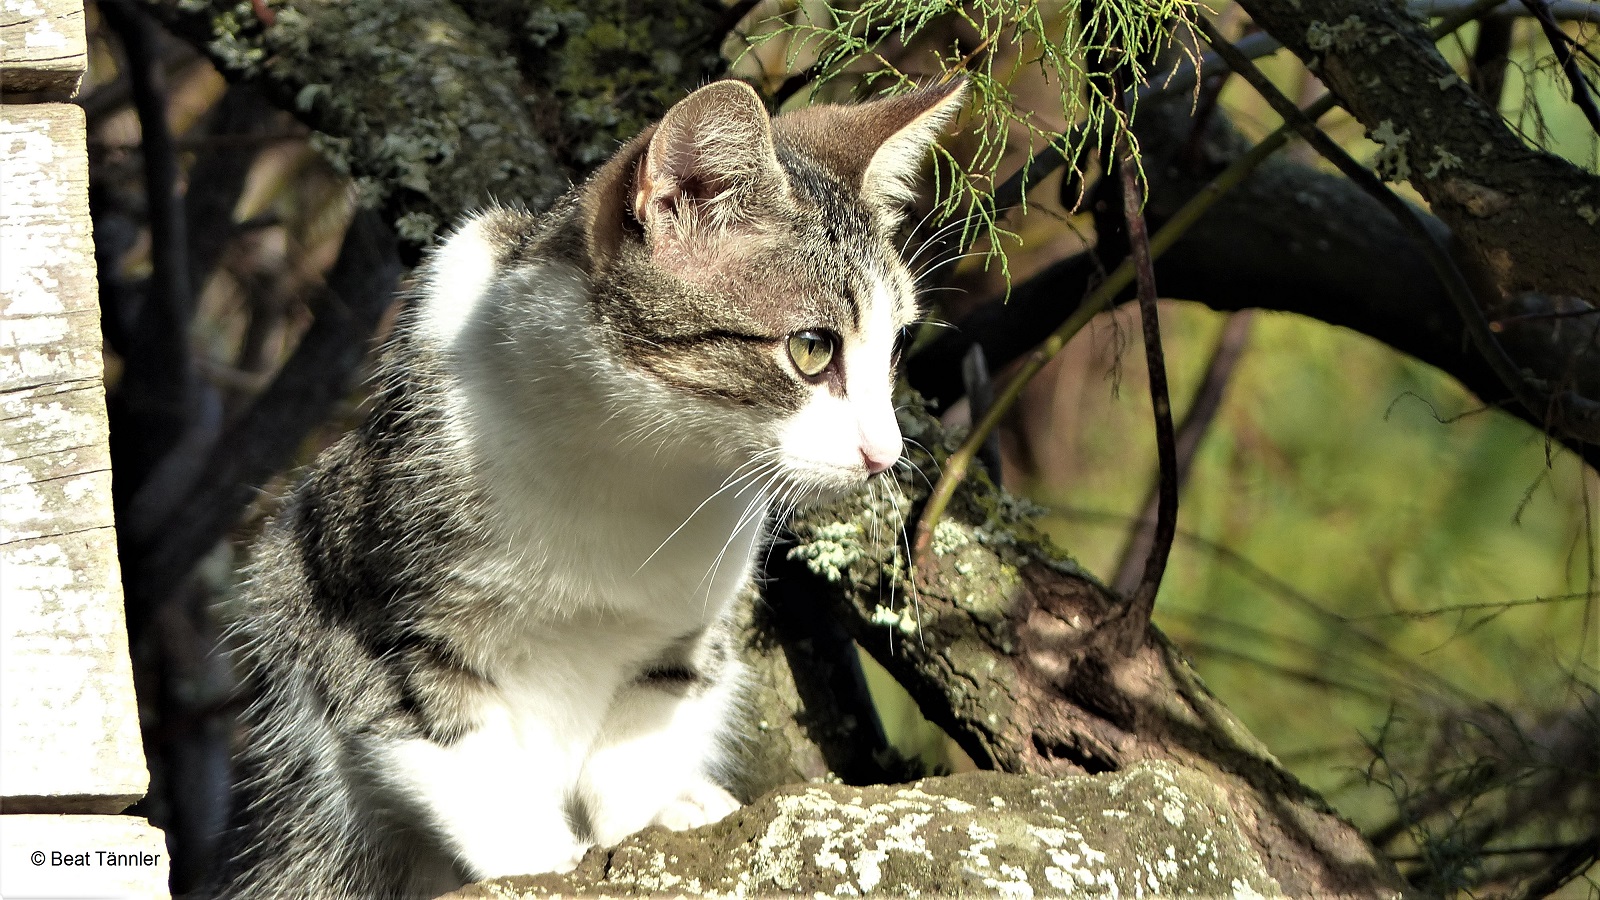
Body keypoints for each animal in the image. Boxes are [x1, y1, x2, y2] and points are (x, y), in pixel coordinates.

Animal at [213, 77, 965, 899]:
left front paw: (644, 826)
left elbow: (647, 728)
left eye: (895, 348)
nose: (884, 452)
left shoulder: (690, 630)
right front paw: (540, 858)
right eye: (811, 349)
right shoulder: (348, 590)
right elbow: (448, 745)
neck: (633, 466)